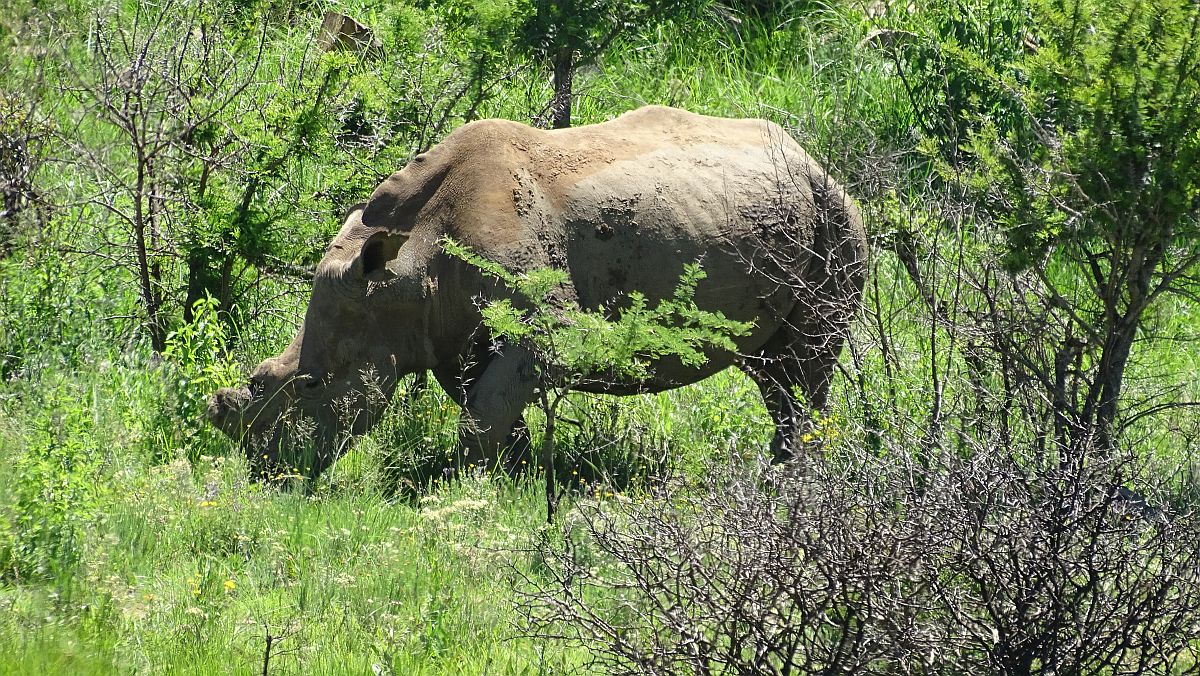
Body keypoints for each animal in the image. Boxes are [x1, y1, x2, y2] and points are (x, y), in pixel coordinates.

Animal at [204, 105, 864, 477]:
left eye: (311, 385)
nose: (269, 470)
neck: (402, 275)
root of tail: (813, 159)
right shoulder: (448, 334)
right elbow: (487, 407)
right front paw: (512, 476)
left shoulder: (551, 328)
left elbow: (484, 414)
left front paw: (473, 485)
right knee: (772, 370)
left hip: (836, 221)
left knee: (803, 364)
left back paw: (789, 482)